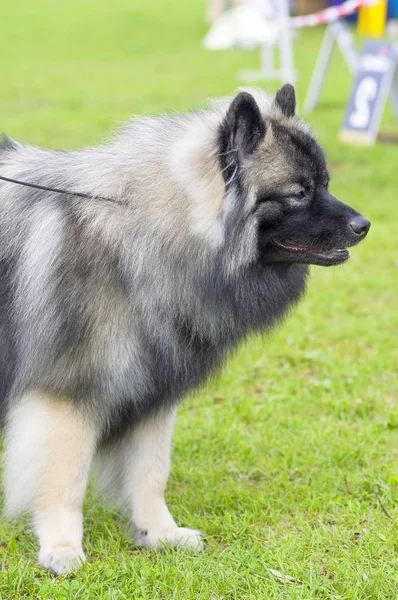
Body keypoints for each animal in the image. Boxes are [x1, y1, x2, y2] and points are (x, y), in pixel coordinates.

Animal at [0, 84, 370, 572]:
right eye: (298, 192)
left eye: (325, 183)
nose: (364, 225)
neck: (143, 243)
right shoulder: (68, 394)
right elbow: (66, 480)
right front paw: (61, 547)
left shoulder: (154, 390)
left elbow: (150, 473)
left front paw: (159, 533)